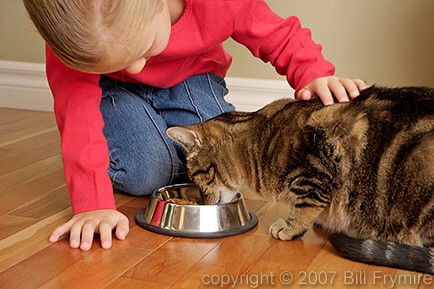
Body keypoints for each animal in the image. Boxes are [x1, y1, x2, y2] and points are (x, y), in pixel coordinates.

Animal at [166, 85, 434, 272]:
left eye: (196, 177)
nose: (204, 202)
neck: (257, 140)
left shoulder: (314, 172)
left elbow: (304, 206)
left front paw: (290, 227)